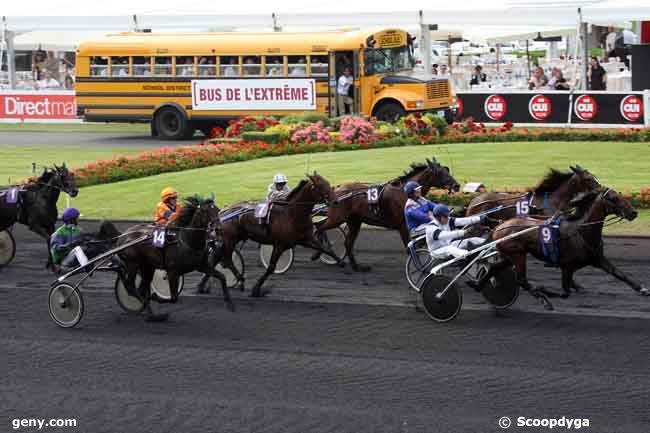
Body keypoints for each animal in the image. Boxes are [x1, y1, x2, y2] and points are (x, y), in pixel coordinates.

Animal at [312, 155, 458, 270]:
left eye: (446, 170)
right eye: (440, 172)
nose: (456, 186)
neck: (404, 192)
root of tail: (336, 189)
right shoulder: (402, 226)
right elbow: (410, 247)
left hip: (354, 222)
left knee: (347, 242)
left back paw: (356, 266)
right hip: (337, 218)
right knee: (319, 227)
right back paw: (318, 252)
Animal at [476, 187, 644, 308]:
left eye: (620, 194)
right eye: (613, 198)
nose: (634, 212)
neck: (581, 231)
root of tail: (499, 227)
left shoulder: (598, 259)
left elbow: (619, 274)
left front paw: (643, 289)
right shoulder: (567, 267)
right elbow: (565, 292)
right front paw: (545, 291)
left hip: (509, 255)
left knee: (493, 268)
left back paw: (477, 285)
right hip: (518, 255)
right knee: (521, 279)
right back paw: (543, 299)